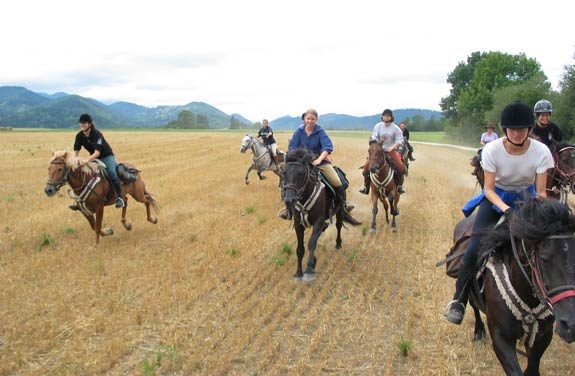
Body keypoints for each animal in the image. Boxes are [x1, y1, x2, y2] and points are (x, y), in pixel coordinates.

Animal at [282, 148, 360, 280]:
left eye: (300, 173)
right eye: (284, 173)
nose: (289, 200)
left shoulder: (318, 221)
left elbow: (311, 243)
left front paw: (309, 269)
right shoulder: (298, 224)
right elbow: (300, 248)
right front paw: (299, 272)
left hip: (339, 211)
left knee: (338, 226)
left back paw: (338, 244)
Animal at [454, 198, 575, 374]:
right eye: (544, 258)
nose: (571, 325)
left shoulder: (543, 336)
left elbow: (532, 368)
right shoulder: (500, 336)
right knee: (473, 305)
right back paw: (476, 331)